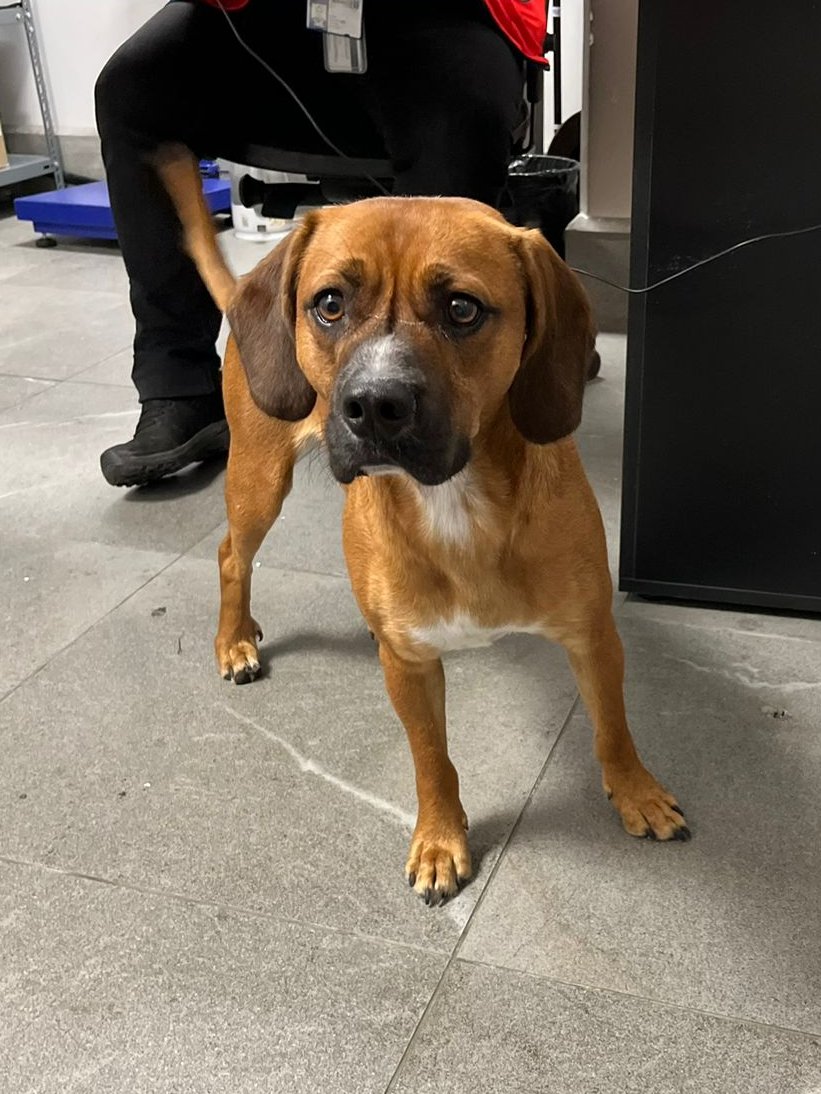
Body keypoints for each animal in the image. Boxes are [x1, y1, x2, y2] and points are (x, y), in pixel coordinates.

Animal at [157, 152, 691, 905]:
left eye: (461, 308)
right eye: (330, 304)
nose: (373, 407)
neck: (458, 504)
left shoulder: (592, 637)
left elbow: (612, 727)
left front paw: (635, 791)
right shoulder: (409, 668)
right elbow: (430, 757)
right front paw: (441, 838)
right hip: (258, 479)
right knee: (233, 554)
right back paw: (234, 638)